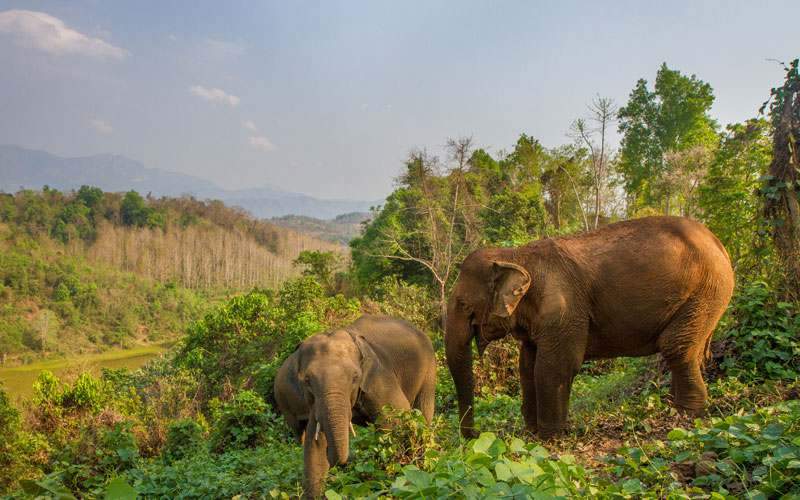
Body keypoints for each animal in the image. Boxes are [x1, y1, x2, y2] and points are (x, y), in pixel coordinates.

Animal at [276, 314, 438, 498]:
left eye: (355, 377)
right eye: (307, 380)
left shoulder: (379, 377)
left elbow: (397, 418)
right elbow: (314, 443)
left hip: (429, 369)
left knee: (423, 414)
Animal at [446, 217, 736, 440]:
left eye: (463, 304)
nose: (474, 436)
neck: (515, 255)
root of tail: (718, 243)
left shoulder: (564, 309)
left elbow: (554, 366)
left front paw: (549, 438)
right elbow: (527, 366)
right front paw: (531, 434)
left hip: (707, 291)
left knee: (676, 346)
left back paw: (687, 414)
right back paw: (673, 406)